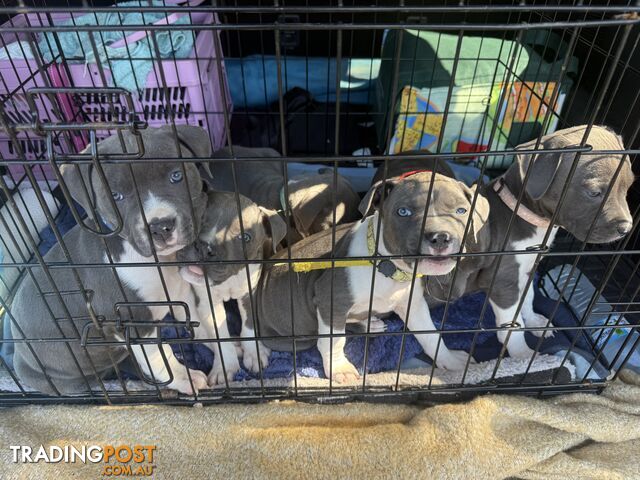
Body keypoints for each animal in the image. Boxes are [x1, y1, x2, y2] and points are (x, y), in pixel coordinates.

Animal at [8, 126, 211, 394]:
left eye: (176, 176)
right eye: (116, 195)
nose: (160, 227)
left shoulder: (179, 291)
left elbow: (196, 318)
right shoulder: (133, 324)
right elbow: (160, 356)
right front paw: (185, 377)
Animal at [175, 190, 284, 382]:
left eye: (245, 237)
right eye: (199, 217)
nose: (204, 247)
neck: (229, 280)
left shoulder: (249, 295)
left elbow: (248, 326)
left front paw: (254, 353)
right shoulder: (207, 304)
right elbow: (220, 337)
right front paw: (225, 367)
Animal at [250, 172, 484, 382]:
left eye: (461, 211)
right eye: (403, 211)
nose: (441, 237)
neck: (386, 267)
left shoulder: (414, 304)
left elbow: (431, 335)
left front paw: (449, 359)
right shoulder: (331, 300)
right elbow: (334, 340)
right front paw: (339, 369)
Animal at [416, 124, 636, 356]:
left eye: (628, 186)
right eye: (594, 192)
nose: (626, 228)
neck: (522, 213)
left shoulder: (527, 268)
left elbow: (528, 298)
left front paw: (535, 322)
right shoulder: (503, 282)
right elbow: (511, 327)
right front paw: (523, 355)